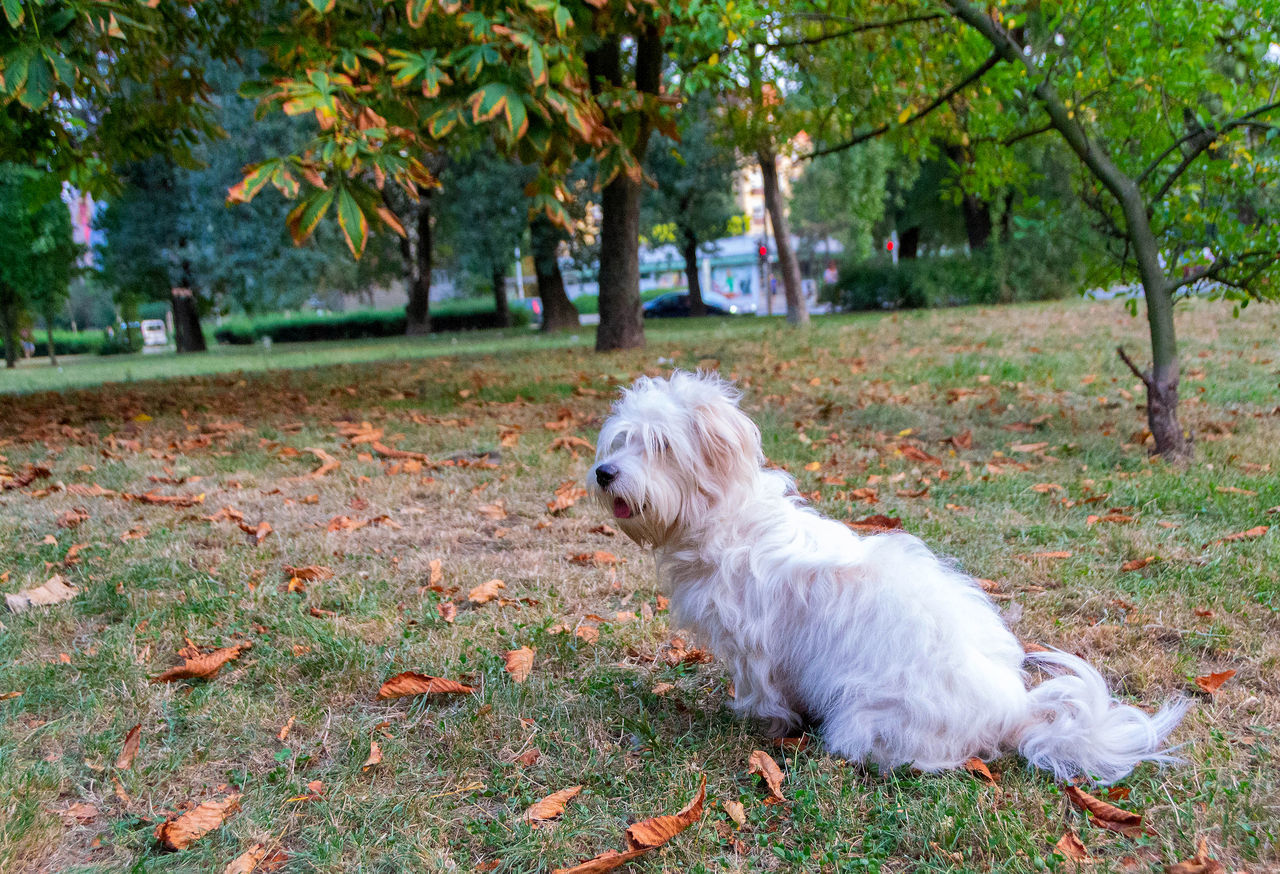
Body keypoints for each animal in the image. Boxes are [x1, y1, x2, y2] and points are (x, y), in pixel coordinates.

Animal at [591, 373, 1187, 783]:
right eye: (620, 440)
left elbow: (761, 693)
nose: (603, 473)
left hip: (865, 717)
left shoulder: (751, 647)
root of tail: (1013, 714)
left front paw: (760, 724)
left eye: (660, 446)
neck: (728, 520)